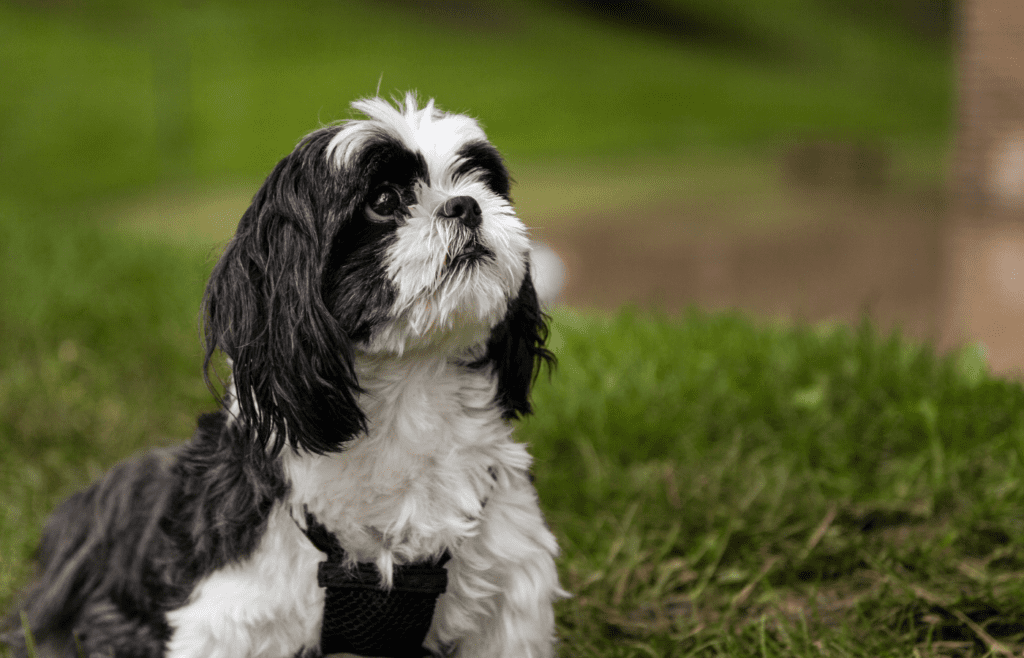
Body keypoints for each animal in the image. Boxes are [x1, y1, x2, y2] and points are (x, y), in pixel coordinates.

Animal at [3, 94, 565, 658]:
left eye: (479, 181)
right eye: (383, 200)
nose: (465, 205)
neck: (410, 391)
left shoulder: (509, 587)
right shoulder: (231, 608)